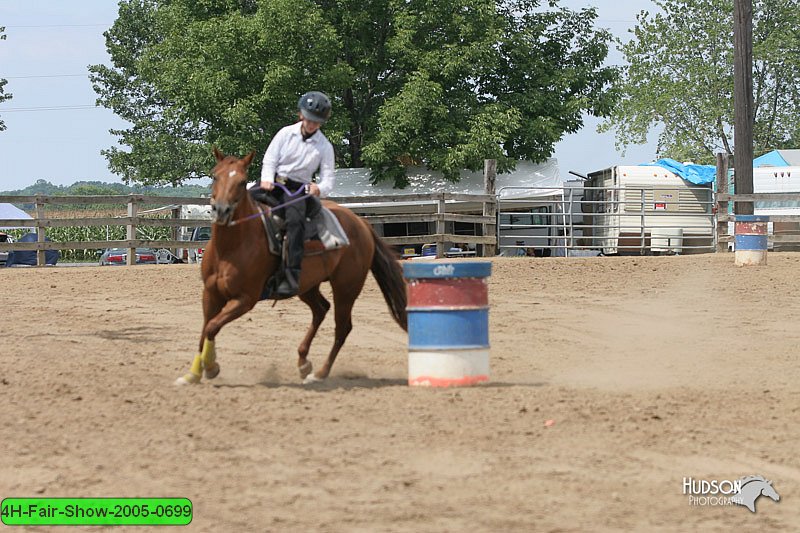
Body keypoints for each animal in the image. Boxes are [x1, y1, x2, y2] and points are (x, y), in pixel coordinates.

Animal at [177, 148, 410, 384]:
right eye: (215, 176)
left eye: (242, 182)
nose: (221, 210)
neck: (230, 248)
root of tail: (361, 224)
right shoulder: (210, 294)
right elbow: (206, 329)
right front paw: (193, 374)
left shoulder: (245, 299)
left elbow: (212, 326)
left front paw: (211, 366)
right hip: (307, 286)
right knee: (321, 310)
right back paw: (304, 362)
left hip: (346, 287)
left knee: (342, 328)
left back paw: (320, 373)